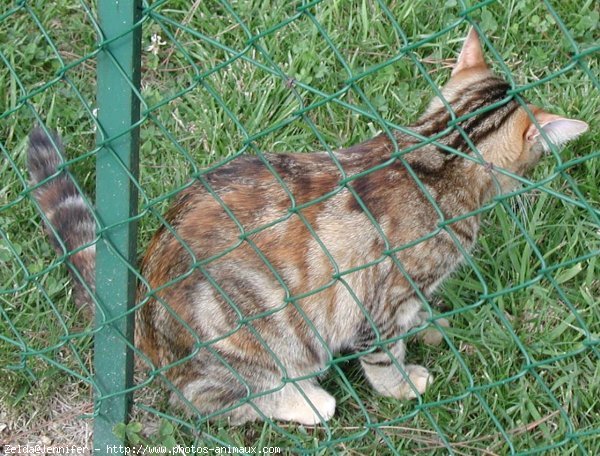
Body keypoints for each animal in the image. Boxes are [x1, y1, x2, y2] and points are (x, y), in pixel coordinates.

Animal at [27, 28, 584, 426]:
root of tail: (139, 308)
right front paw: (404, 383)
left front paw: (430, 323)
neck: (440, 154)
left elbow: (419, 316)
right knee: (207, 400)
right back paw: (307, 402)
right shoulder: (377, 305)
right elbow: (385, 356)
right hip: (251, 338)